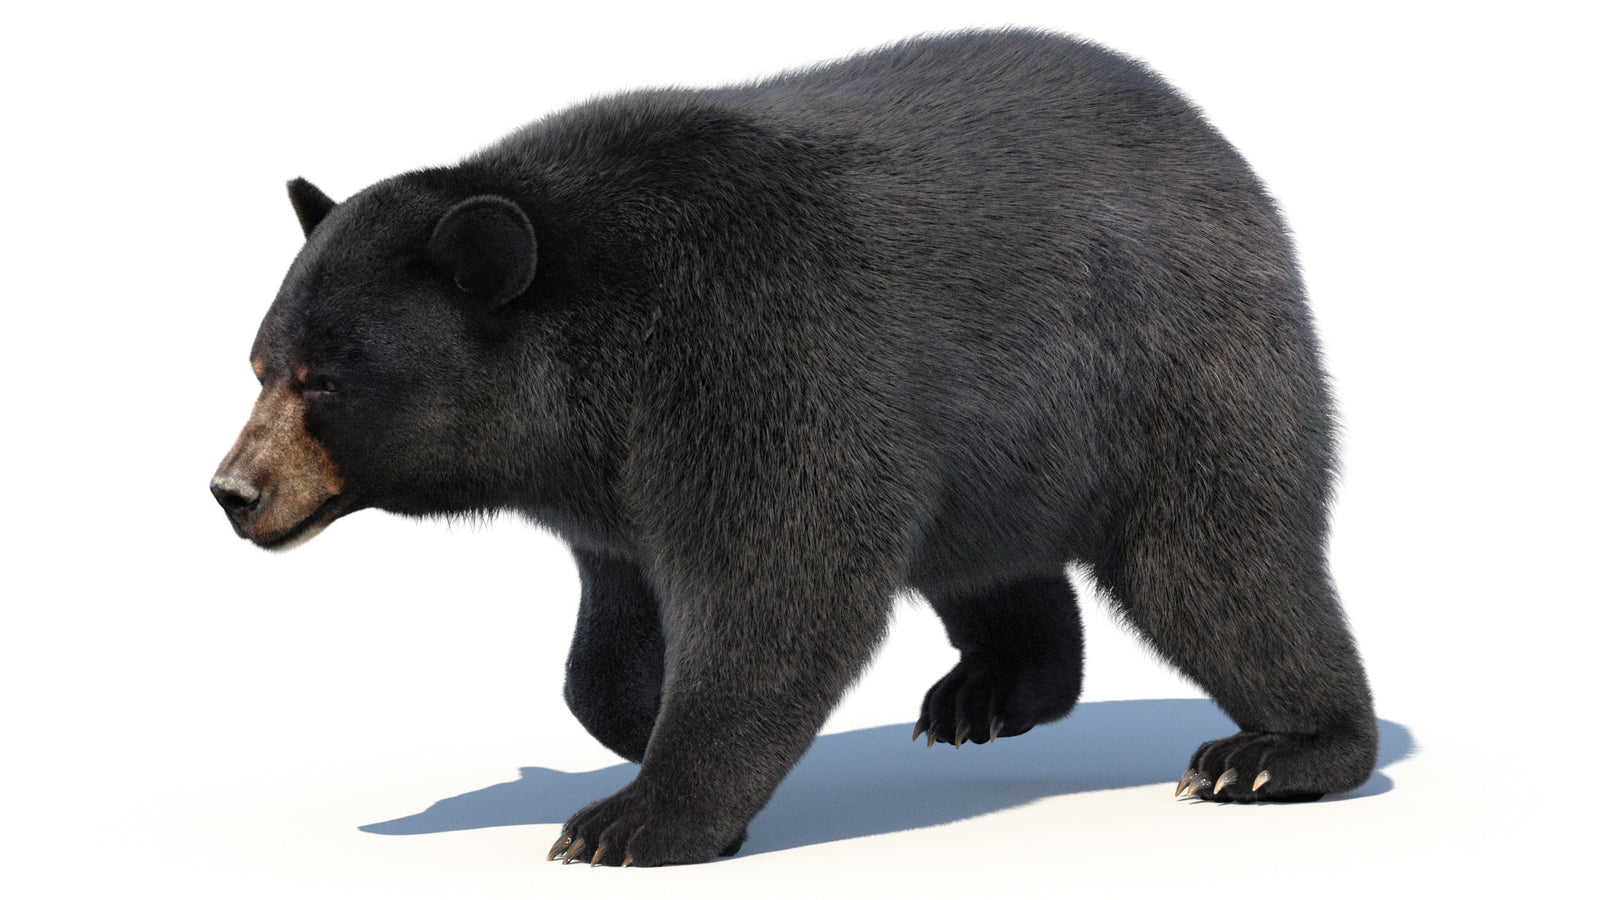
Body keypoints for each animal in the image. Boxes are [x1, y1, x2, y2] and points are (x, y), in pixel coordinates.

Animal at [211, 29, 1377, 867]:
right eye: (259, 362)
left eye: (325, 380)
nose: (233, 490)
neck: (593, 358)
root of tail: (1219, 152)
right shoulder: (612, 479)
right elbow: (611, 634)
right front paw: (637, 723)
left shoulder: (754, 360)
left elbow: (779, 585)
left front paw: (634, 820)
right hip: (999, 450)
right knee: (993, 557)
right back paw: (993, 691)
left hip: (1170, 367)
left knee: (1220, 562)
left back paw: (1277, 752)